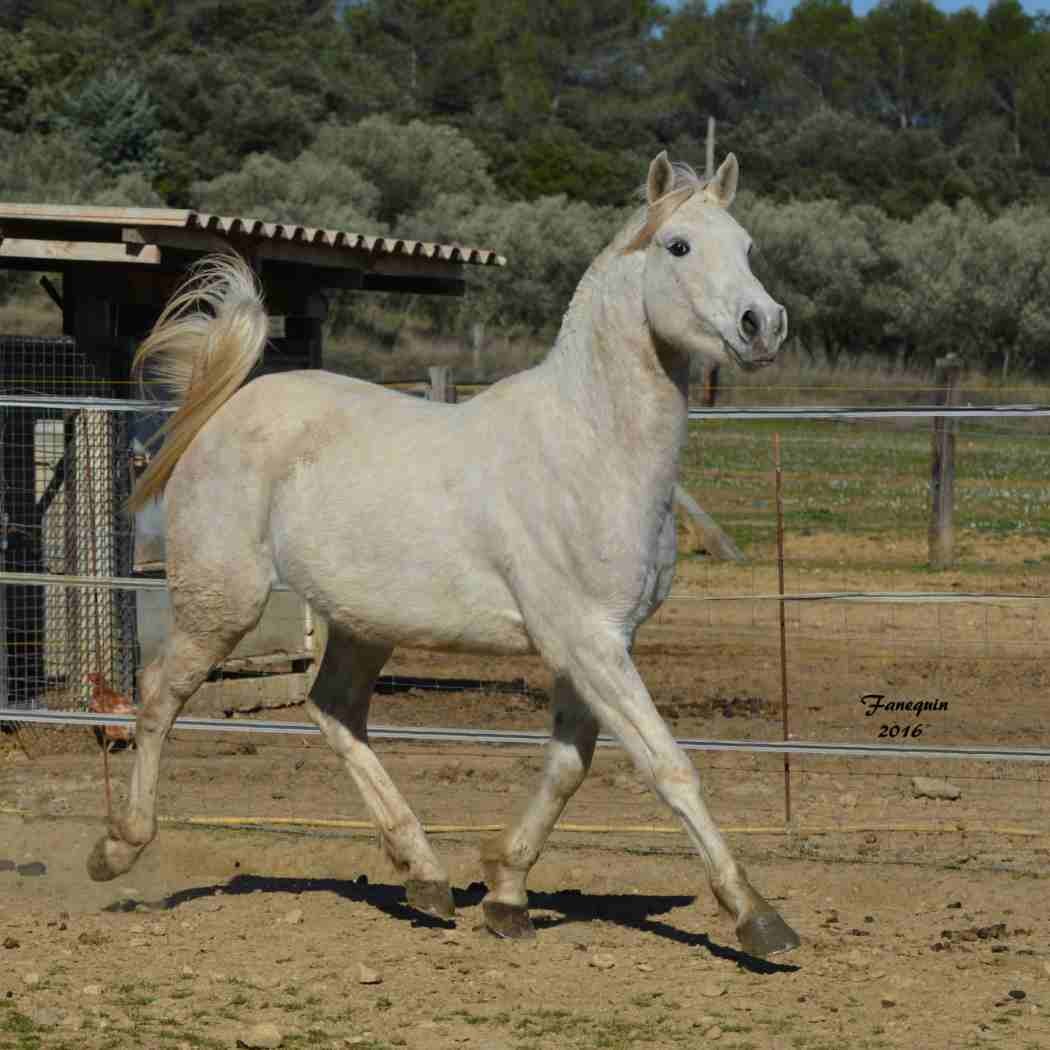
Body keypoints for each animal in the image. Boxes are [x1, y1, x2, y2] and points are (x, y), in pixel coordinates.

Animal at [88, 152, 793, 957]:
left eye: (746, 246)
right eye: (678, 246)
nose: (763, 325)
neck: (591, 448)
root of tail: (223, 411)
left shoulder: (597, 645)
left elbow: (568, 766)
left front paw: (506, 893)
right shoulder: (589, 643)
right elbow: (668, 766)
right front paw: (758, 917)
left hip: (361, 624)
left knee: (333, 711)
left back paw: (424, 877)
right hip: (222, 602)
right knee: (157, 697)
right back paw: (117, 848)